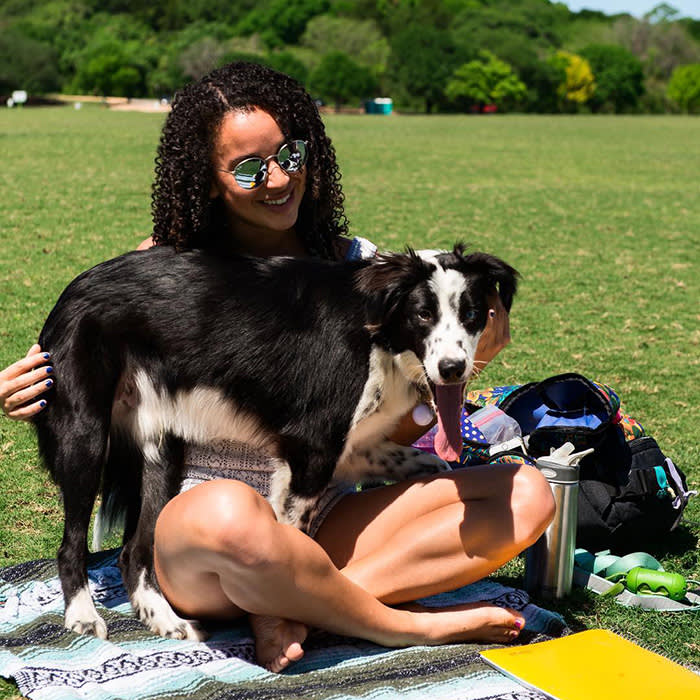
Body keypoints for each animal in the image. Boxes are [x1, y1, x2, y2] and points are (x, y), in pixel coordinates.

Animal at [31, 243, 516, 644]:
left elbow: (429, 464)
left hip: (160, 452)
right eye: (423, 315)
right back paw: (82, 615)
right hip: (85, 438)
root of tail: (73, 288)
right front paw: (286, 625)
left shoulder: (343, 450)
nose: (453, 369)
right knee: (71, 545)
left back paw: (162, 617)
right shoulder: (310, 450)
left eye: (473, 314)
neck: (379, 330)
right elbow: (296, 549)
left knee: (134, 551)